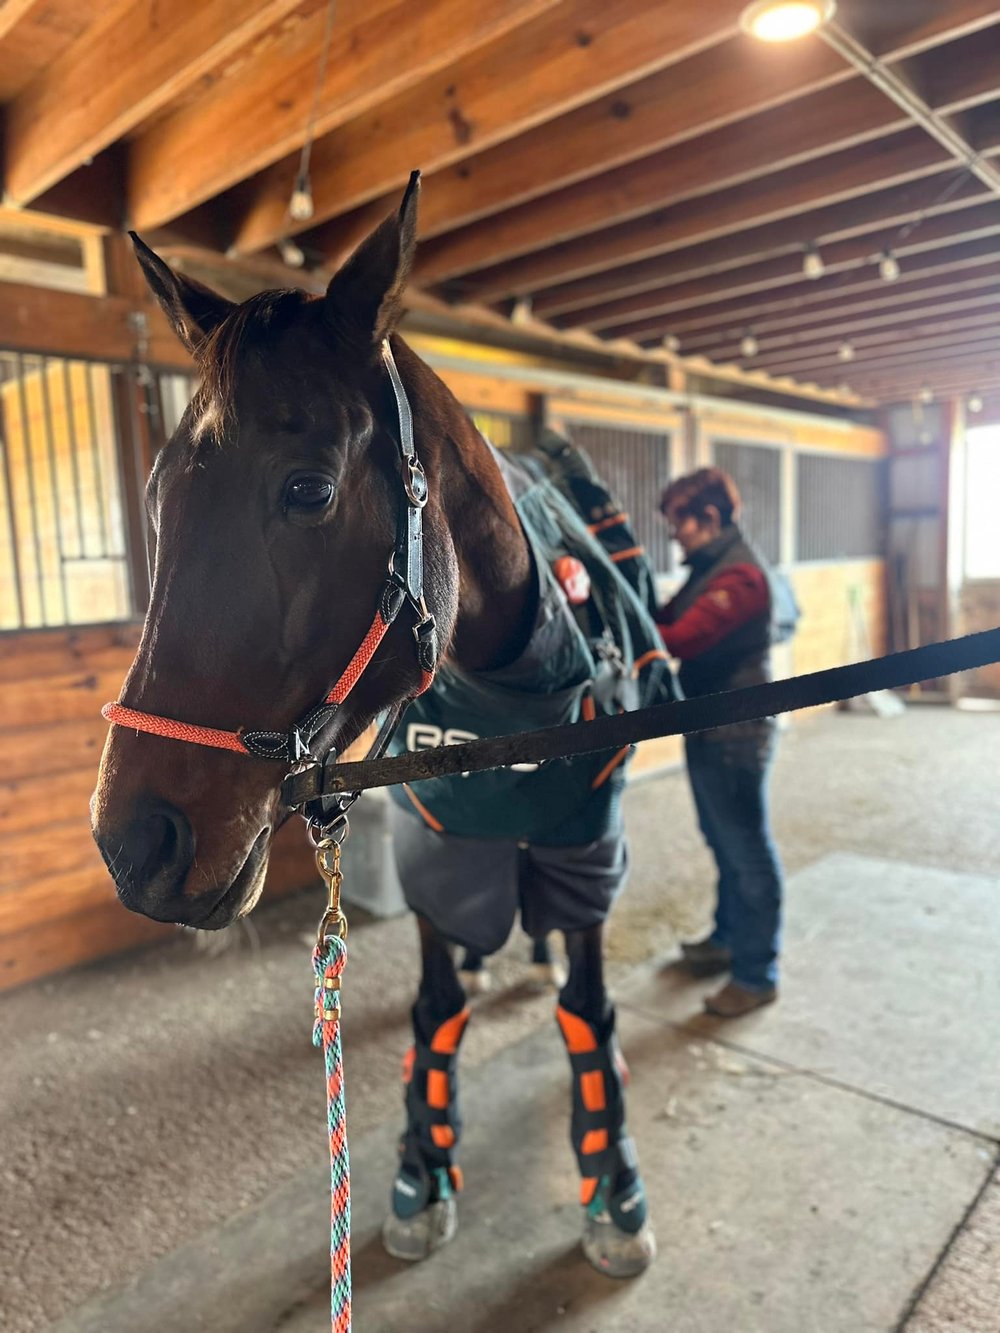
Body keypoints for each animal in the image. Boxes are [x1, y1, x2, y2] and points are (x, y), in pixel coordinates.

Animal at [92, 171, 658, 1274]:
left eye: (308, 489)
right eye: (156, 497)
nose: (132, 843)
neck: (509, 697)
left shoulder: (587, 851)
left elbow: (587, 1005)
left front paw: (610, 1180)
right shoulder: (443, 856)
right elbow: (436, 1006)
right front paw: (422, 1164)